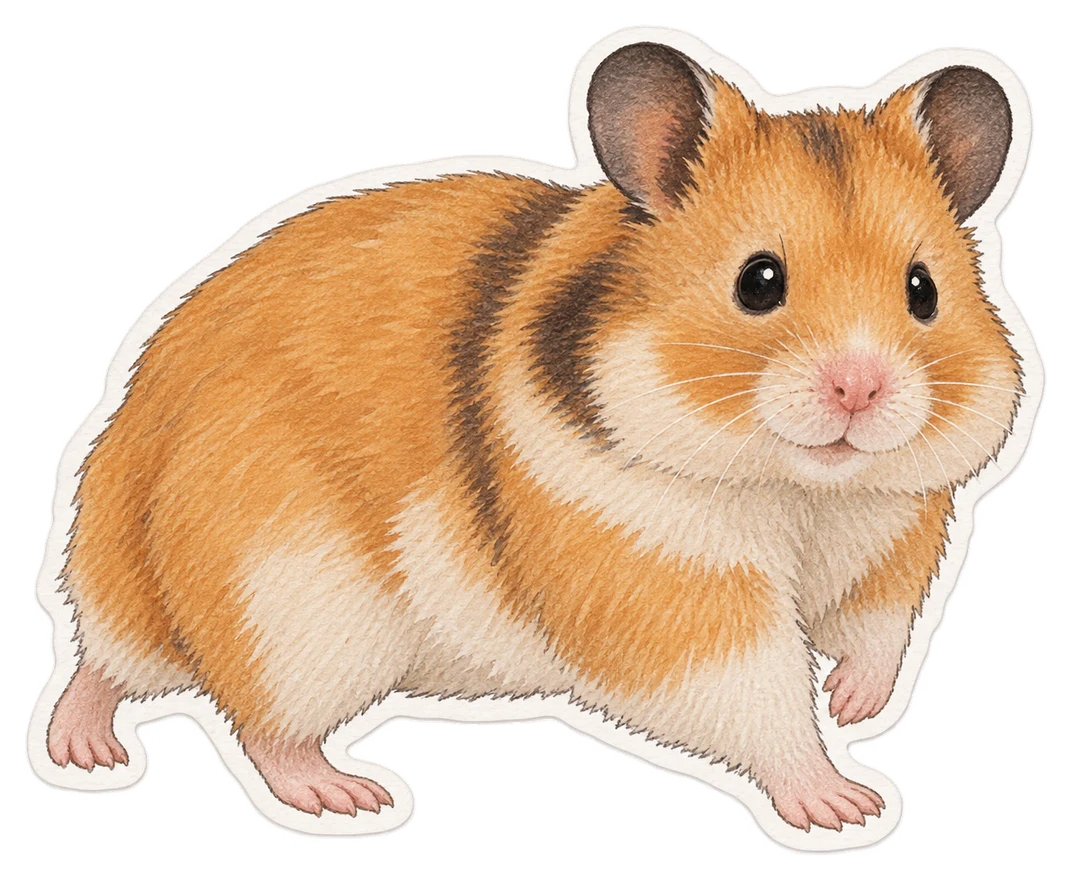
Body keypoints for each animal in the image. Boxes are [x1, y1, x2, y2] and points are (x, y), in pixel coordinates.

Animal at [45, 42, 1021, 832]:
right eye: (759, 281)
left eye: (924, 291)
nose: (862, 387)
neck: (792, 484)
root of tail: (132, 442)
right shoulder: (664, 585)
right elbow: (761, 698)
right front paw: (845, 802)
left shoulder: (895, 533)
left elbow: (876, 633)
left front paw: (853, 705)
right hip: (287, 603)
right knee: (248, 719)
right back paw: (334, 794)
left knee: (116, 665)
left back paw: (85, 752)